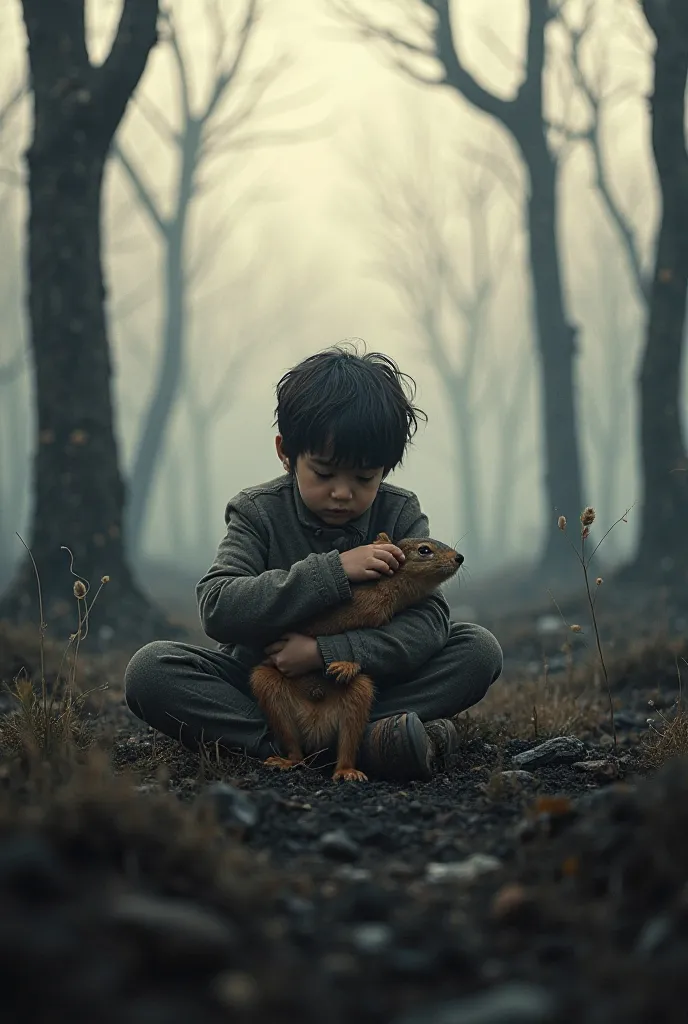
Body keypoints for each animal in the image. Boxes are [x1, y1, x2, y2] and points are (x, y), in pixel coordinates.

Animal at [249, 532, 464, 778]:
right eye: (424, 550)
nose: (459, 558)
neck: (389, 589)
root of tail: (315, 726)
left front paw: (346, 664)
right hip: (268, 688)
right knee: (293, 745)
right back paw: (287, 761)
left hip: (358, 695)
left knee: (347, 743)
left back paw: (347, 770)